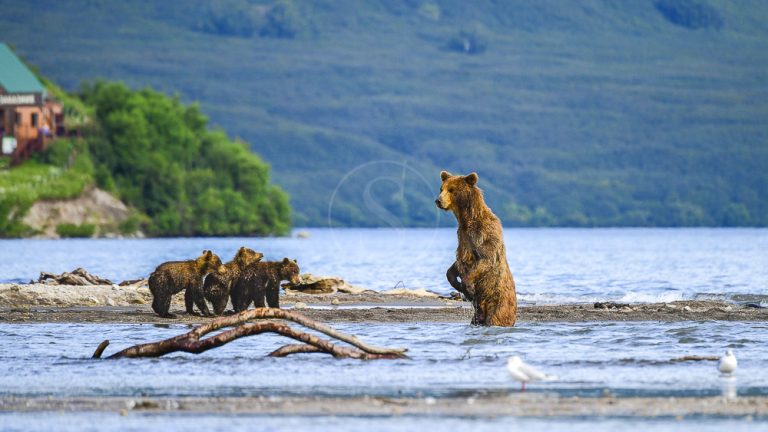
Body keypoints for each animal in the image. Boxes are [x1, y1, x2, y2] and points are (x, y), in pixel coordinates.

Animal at [435, 171, 517, 326]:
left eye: (452, 190)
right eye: (441, 189)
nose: (438, 200)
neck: (467, 219)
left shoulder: (483, 235)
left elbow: (486, 259)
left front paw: (469, 289)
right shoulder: (463, 238)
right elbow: (455, 265)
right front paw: (459, 284)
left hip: (499, 303)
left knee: (496, 317)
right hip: (478, 315)